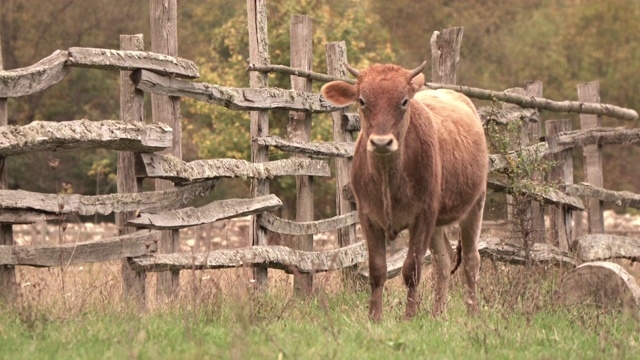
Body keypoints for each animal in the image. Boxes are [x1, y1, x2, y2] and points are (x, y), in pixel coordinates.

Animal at [322, 62, 488, 320]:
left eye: (404, 101)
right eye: (362, 100)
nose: (381, 142)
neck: (388, 179)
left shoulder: (422, 216)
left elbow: (411, 269)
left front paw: (409, 317)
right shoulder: (368, 216)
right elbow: (377, 269)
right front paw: (375, 317)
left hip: (475, 204)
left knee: (471, 260)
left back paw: (473, 313)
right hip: (436, 224)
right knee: (443, 260)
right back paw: (438, 314)